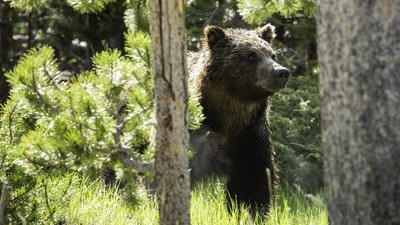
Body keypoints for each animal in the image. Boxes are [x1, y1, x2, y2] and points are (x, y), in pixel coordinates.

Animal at [189, 24, 290, 213]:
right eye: (251, 55)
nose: (281, 72)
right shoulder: (198, 130)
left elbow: (254, 180)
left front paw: (251, 210)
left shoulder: (250, 135)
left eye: (272, 54)